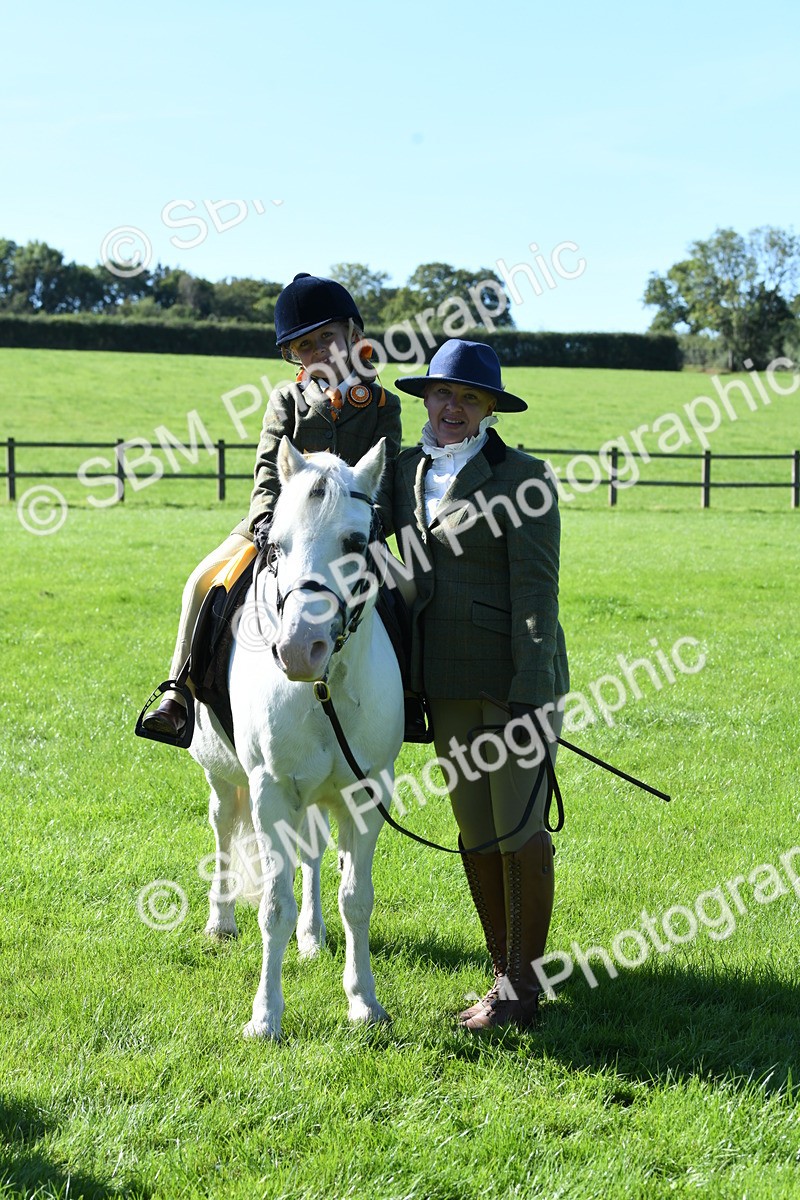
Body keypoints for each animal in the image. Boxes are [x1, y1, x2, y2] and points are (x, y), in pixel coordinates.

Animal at [189, 436, 403, 1040]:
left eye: (355, 541)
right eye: (276, 545)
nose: (297, 649)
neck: (323, 688)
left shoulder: (365, 794)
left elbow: (357, 899)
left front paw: (364, 1003)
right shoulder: (272, 791)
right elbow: (274, 907)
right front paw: (265, 1017)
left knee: (312, 852)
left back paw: (312, 935)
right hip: (224, 779)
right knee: (223, 829)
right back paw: (221, 921)